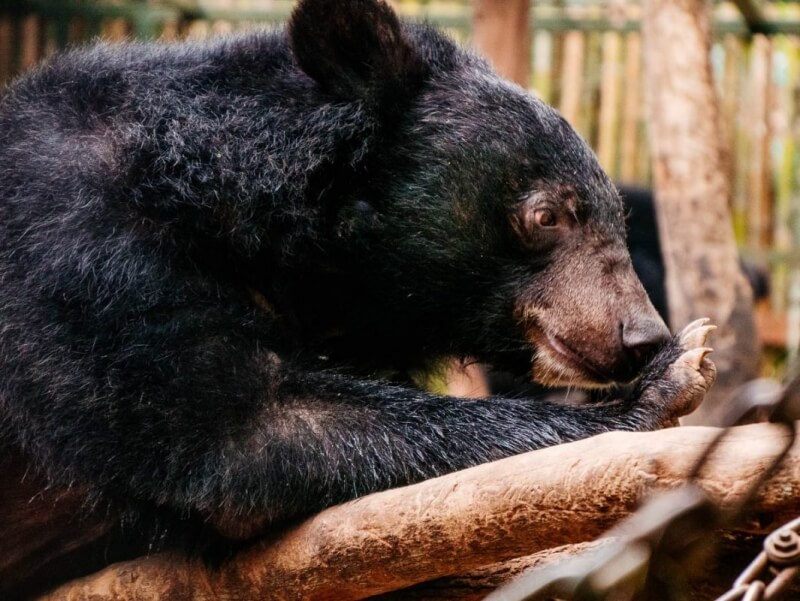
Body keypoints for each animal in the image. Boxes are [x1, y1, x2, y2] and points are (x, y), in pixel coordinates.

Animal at [0, 0, 716, 590]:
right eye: (549, 216)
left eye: (617, 216)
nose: (640, 336)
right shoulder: (75, 252)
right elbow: (238, 432)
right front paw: (664, 383)